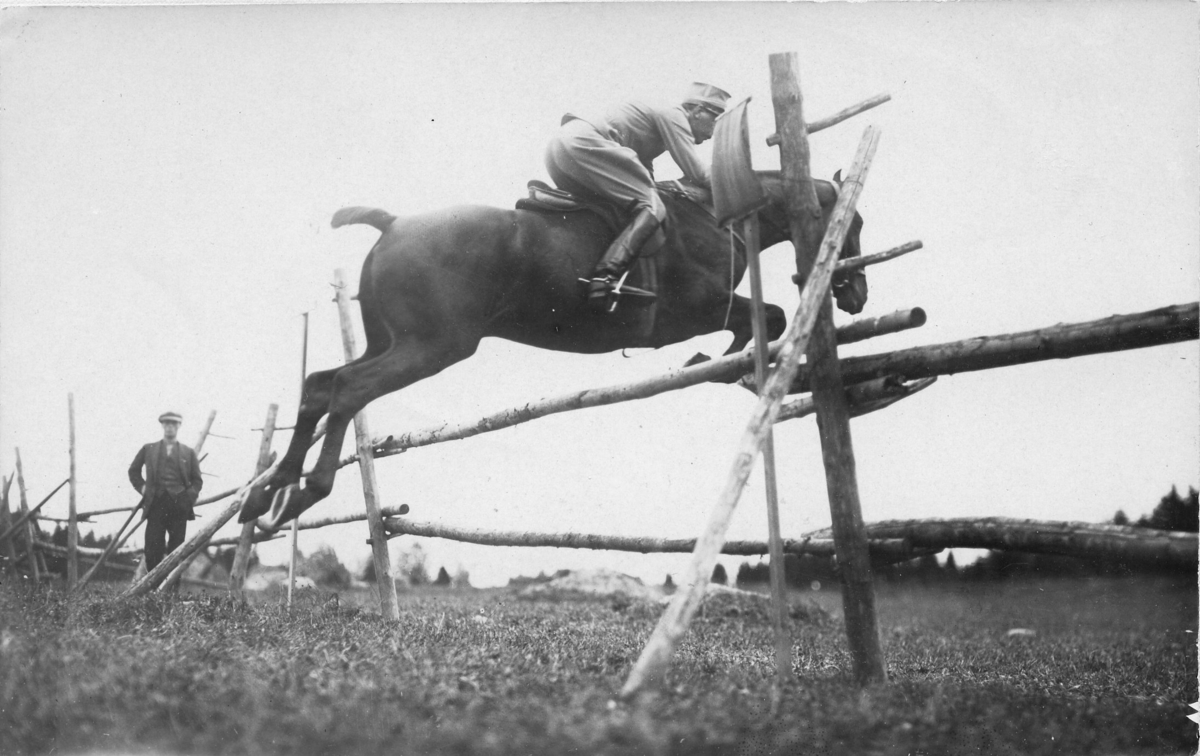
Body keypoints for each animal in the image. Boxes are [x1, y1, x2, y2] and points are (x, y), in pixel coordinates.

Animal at [241, 172, 868, 529]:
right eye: (850, 221)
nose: (857, 293)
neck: (715, 215)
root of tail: (392, 223)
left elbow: (765, 319)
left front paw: (714, 362)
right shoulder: (696, 311)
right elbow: (770, 316)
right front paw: (714, 363)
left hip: (389, 341)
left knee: (321, 385)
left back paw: (266, 495)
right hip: (432, 347)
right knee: (349, 390)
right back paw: (303, 493)